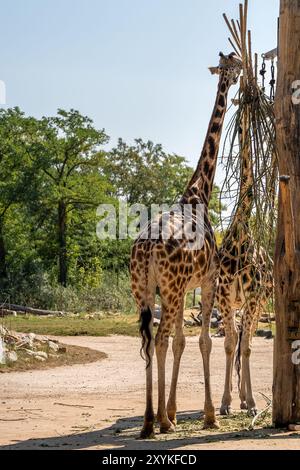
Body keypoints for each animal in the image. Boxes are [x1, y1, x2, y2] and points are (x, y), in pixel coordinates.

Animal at [130, 51, 243, 436]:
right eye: (233, 63)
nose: (241, 72)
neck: (199, 193)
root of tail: (146, 250)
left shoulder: (181, 289)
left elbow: (181, 342)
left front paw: (175, 411)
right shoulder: (206, 281)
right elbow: (203, 340)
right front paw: (208, 414)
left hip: (144, 290)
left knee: (150, 340)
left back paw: (151, 421)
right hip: (170, 288)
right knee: (160, 338)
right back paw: (157, 422)